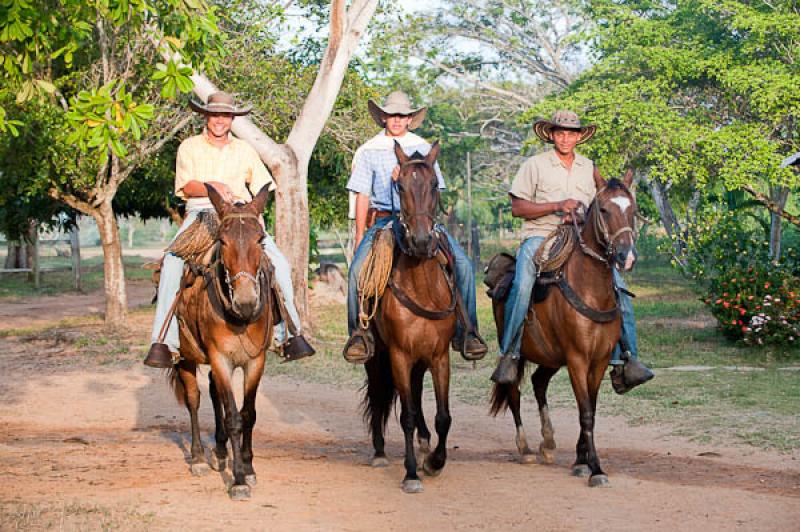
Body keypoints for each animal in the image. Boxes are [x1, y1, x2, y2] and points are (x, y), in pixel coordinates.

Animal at [167, 185, 274, 500]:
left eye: (260, 239)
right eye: (223, 241)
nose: (246, 301)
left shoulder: (256, 361)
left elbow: (247, 414)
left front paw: (248, 469)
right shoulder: (221, 359)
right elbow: (233, 418)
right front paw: (237, 480)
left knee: (215, 395)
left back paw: (220, 452)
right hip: (187, 358)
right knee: (193, 400)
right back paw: (199, 458)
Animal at [362, 140, 456, 494]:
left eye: (434, 184)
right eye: (399, 186)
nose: (420, 240)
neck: (422, 289)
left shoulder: (439, 355)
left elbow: (443, 415)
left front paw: (435, 462)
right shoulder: (399, 355)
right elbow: (406, 415)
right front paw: (412, 473)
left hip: (420, 358)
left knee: (414, 392)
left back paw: (426, 440)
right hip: (377, 356)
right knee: (379, 395)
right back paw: (378, 451)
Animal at [488, 169, 636, 486]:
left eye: (633, 209)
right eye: (603, 209)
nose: (626, 256)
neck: (591, 289)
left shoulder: (599, 361)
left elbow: (591, 408)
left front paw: (581, 461)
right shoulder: (578, 358)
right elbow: (586, 413)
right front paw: (595, 469)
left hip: (551, 357)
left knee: (538, 383)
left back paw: (547, 442)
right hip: (519, 353)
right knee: (513, 390)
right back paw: (526, 448)